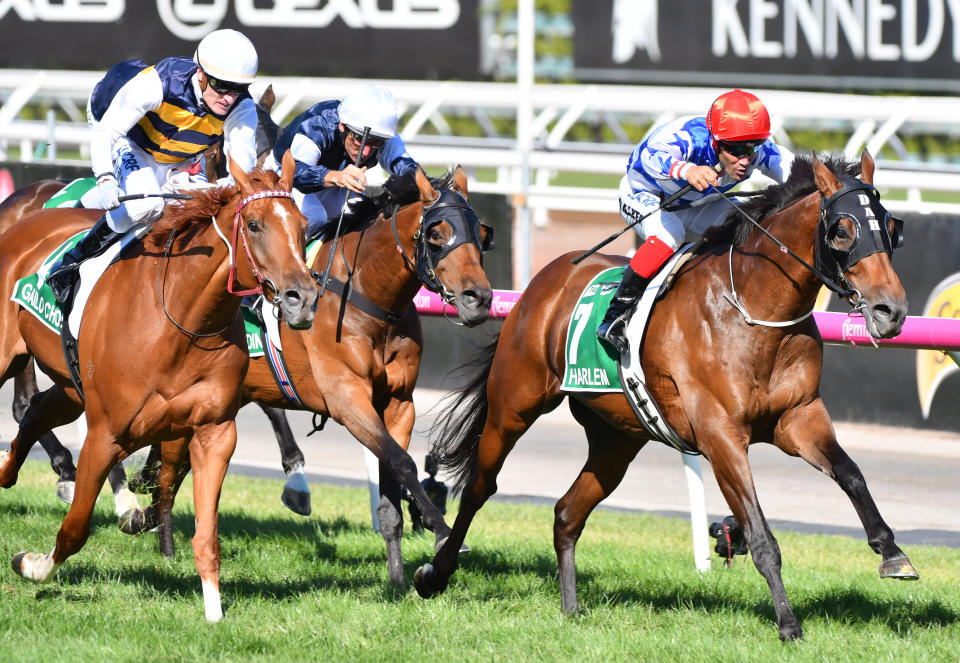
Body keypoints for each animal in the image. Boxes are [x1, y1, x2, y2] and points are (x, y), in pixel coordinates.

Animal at [124, 167, 492, 588]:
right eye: (436, 234)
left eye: (482, 234)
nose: (479, 298)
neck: (367, 299)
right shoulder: (347, 398)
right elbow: (404, 464)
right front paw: (444, 533)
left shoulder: (399, 404)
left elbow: (391, 484)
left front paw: (398, 578)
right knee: (168, 473)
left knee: (171, 470)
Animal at [412, 153, 916, 640]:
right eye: (843, 231)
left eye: (890, 226)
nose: (891, 311)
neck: (752, 308)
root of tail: (543, 280)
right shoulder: (721, 436)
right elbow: (759, 534)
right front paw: (788, 624)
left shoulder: (798, 417)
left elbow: (851, 474)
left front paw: (892, 553)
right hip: (512, 407)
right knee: (479, 487)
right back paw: (436, 573)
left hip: (617, 438)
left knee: (566, 513)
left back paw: (571, 607)